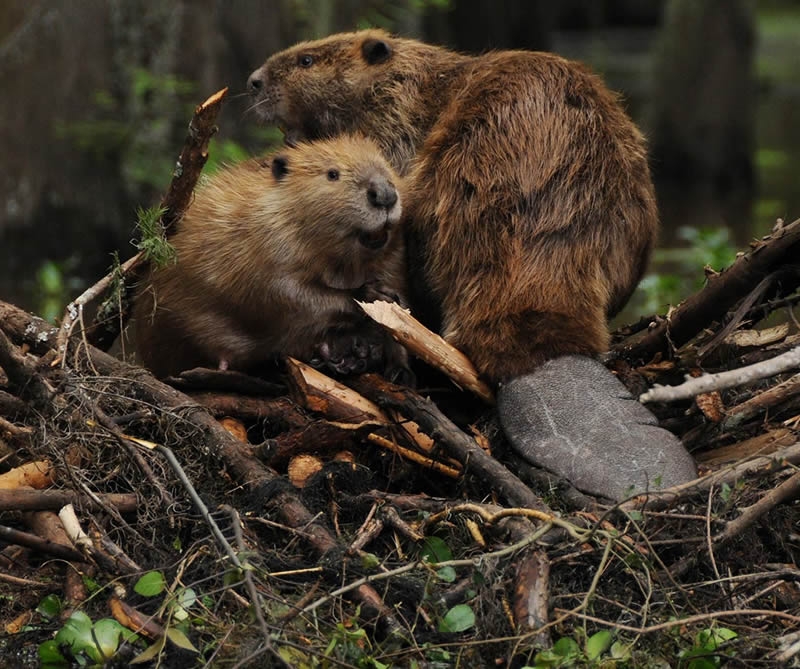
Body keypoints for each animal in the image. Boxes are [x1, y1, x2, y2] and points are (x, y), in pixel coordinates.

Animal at [134, 133, 406, 380]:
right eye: (332, 174)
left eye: (387, 166)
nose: (384, 194)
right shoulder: (266, 242)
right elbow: (285, 293)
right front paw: (371, 294)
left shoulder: (392, 259)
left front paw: (396, 363)